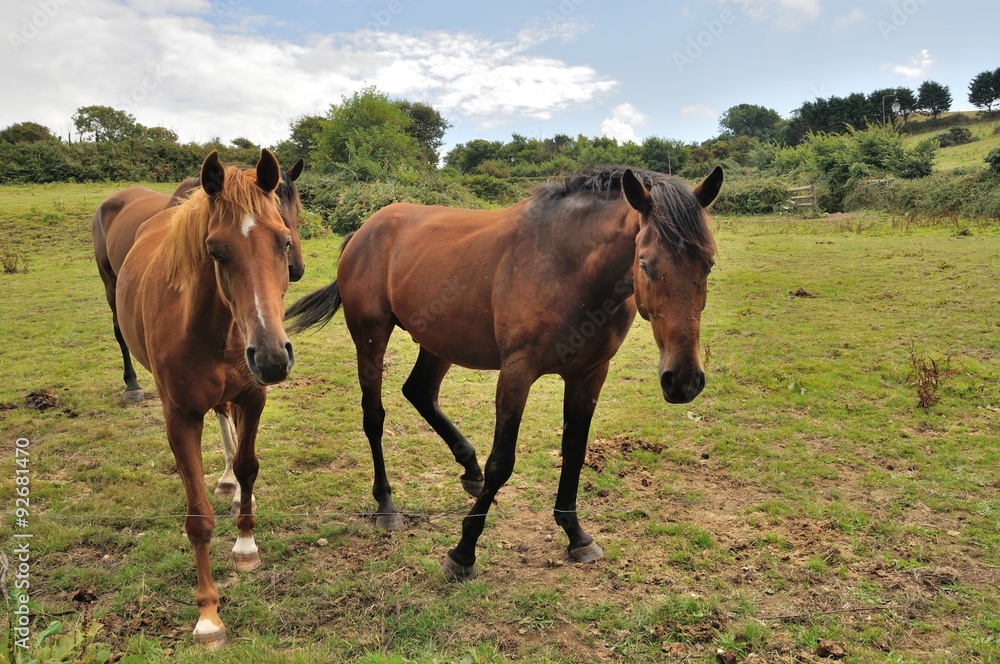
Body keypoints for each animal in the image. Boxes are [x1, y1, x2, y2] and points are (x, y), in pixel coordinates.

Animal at [116, 150, 294, 648]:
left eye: (284, 242)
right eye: (216, 251)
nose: (272, 358)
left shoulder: (253, 396)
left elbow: (250, 466)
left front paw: (246, 545)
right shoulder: (180, 417)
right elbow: (198, 518)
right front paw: (208, 617)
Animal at [286, 165, 724, 580]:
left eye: (709, 264)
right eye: (646, 265)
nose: (684, 380)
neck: (569, 266)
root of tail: (365, 230)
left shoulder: (589, 374)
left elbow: (575, 452)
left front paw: (576, 535)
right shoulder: (517, 372)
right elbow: (502, 461)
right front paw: (463, 553)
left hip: (439, 341)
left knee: (420, 392)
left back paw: (469, 469)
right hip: (371, 338)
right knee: (374, 417)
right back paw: (386, 505)